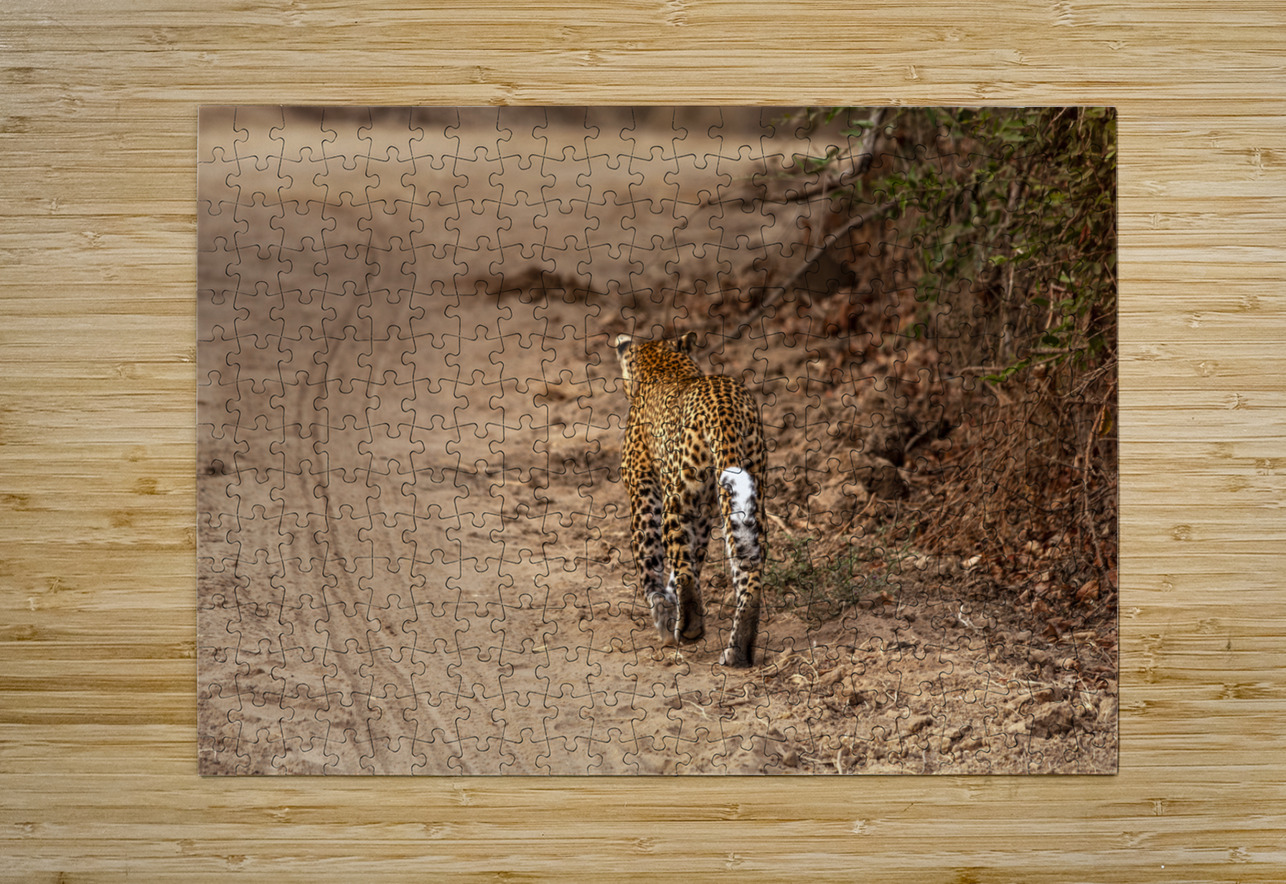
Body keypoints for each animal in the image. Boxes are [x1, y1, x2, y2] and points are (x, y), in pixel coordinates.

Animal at [613, 331, 768, 667]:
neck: (662, 362)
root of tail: (724, 406)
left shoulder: (643, 490)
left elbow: (653, 561)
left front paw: (662, 610)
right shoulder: (705, 510)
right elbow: (694, 557)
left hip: (678, 495)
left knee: (680, 561)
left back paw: (690, 627)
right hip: (749, 492)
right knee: (749, 569)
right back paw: (737, 652)